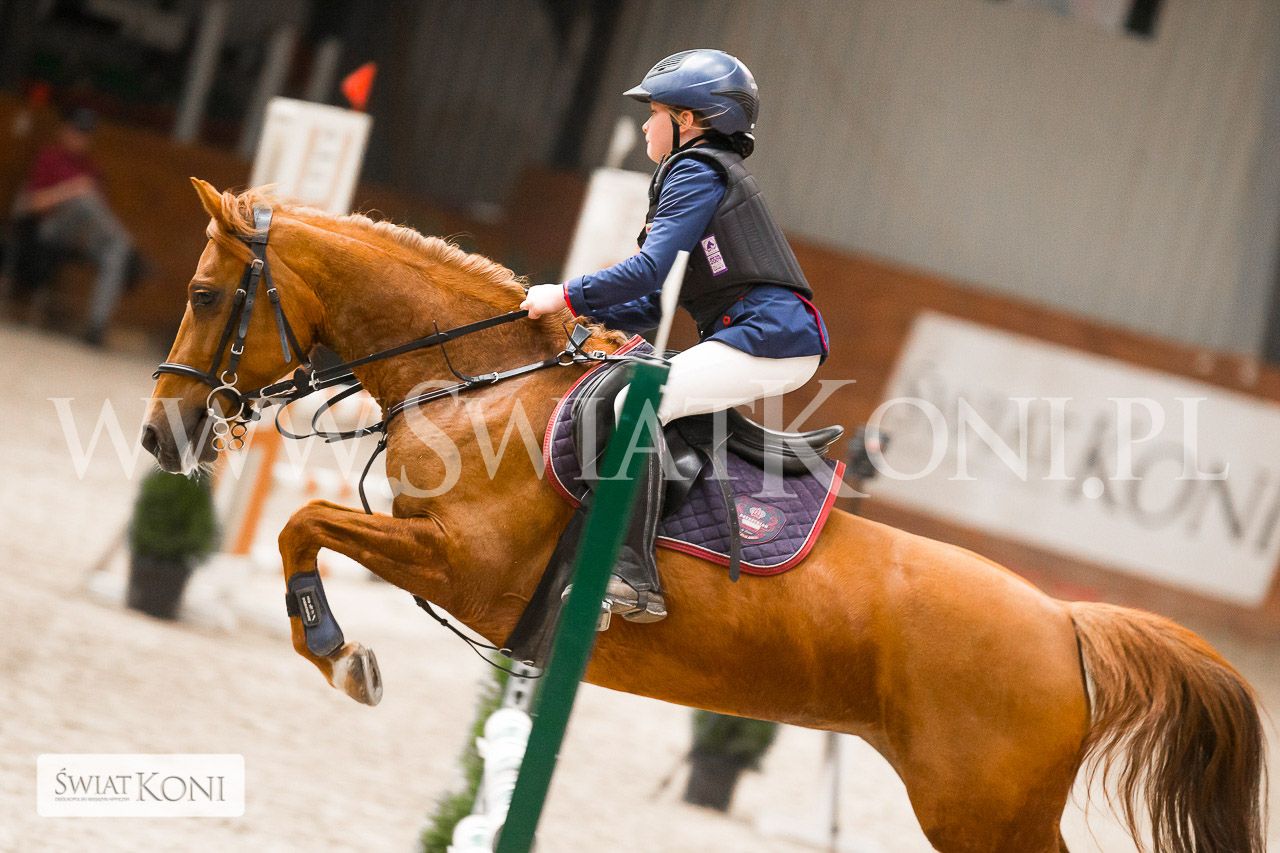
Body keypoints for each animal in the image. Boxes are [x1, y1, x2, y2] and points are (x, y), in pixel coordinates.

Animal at [141, 179, 1266, 853]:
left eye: (202, 295)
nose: (160, 436)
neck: (475, 382)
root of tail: (1067, 622)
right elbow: (307, 528)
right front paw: (340, 652)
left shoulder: (462, 563)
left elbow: (303, 527)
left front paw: (341, 654)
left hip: (981, 809)